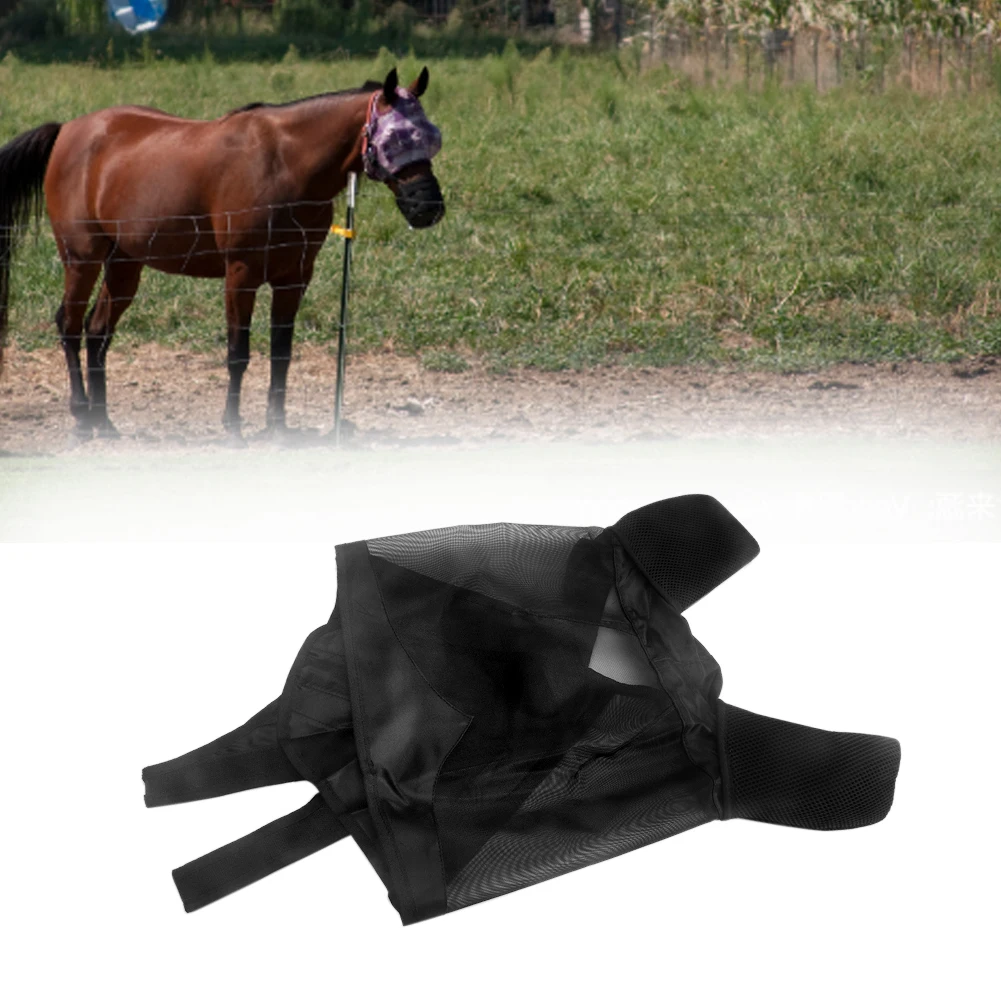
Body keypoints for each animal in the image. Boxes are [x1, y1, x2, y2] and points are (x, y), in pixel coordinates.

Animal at [0, 67, 444, 440]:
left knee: (97, 332)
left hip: (124, 264)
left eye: (432, 137)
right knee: (70, 324)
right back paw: (80, 416)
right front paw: (232, 426)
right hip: (83, 258)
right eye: (396, 139)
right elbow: (237, 354)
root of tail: (67, 130)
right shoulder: (241, 274)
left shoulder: (294, 277)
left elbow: (281, 354)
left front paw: (277, 425)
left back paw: (103, 421)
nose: (429, 207)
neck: (285, 164)